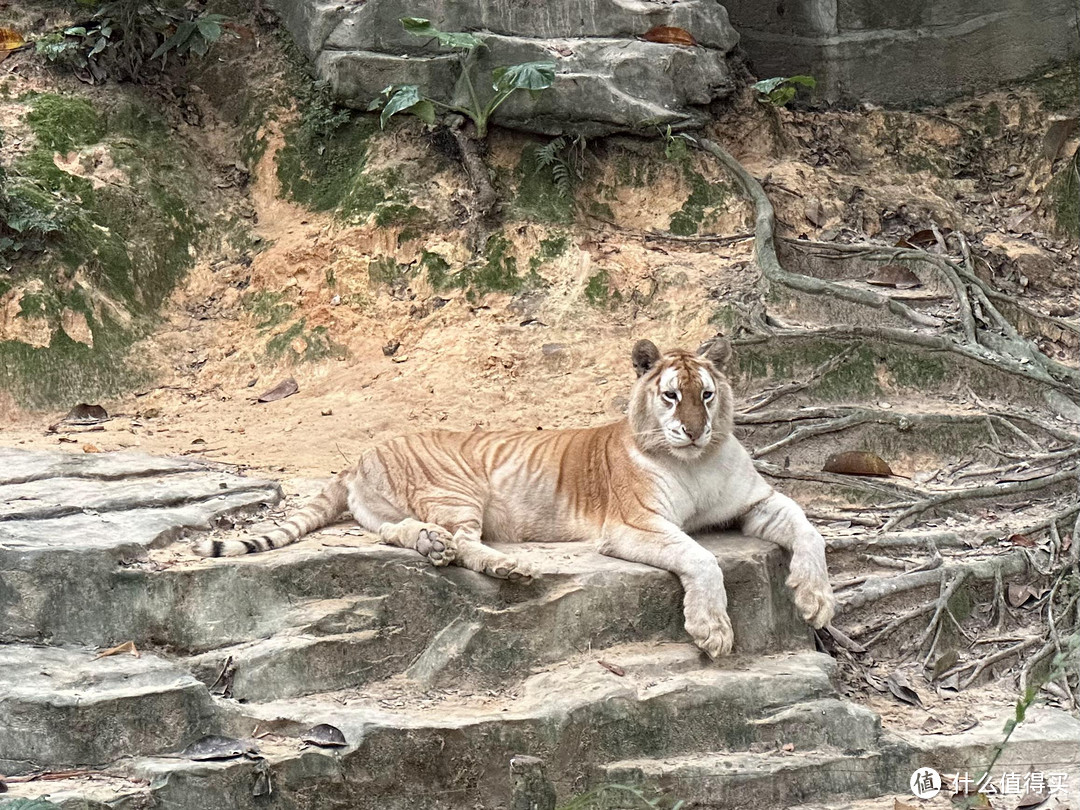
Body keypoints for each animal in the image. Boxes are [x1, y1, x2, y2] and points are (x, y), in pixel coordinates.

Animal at [198, 336, 838, 660]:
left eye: (706, 394)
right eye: (670, 396)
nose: (694, 429)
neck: (698, 462)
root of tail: (359, 456)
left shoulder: (754, 501)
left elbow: (809, 528)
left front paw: (815, 602)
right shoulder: (634, 524)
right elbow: (702, 559)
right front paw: (712, 631)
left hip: (395, 510)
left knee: (404, 534)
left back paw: (432, 546)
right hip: (457, 489)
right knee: (464, 543)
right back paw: (511, 567)